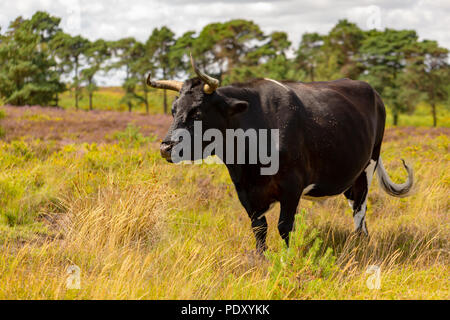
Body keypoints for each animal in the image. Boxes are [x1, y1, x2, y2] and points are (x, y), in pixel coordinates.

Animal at [154, 76, 412, 251]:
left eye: (197, 113)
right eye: (173, 110)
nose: (166, 147)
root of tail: (370, 90)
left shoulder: (291, 186)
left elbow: (284, 226)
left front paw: (287, 259)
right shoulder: (245, 191)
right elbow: (259, 228)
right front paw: (261, 260)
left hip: (368, 165)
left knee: (360, 208)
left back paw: (360, 245)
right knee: (355, 205)